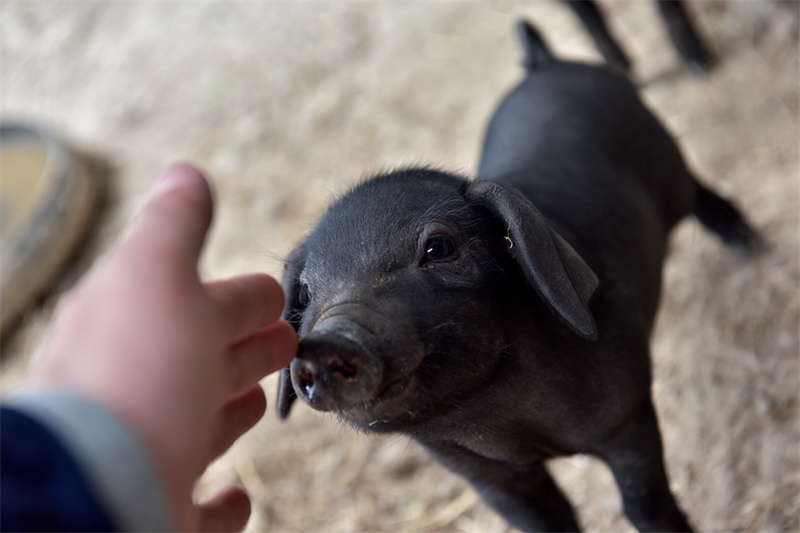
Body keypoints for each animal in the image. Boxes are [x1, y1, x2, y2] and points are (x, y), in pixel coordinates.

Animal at [275, 20, 761, 532]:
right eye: (305, 293)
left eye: (438, 248)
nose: (326, 339)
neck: (509, 414)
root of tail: (545, 64)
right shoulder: (485, 475)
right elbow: (543, 522)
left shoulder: (628, 415)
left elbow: (644, 503)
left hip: (666, 158)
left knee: (699, 192)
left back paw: (751, 246)